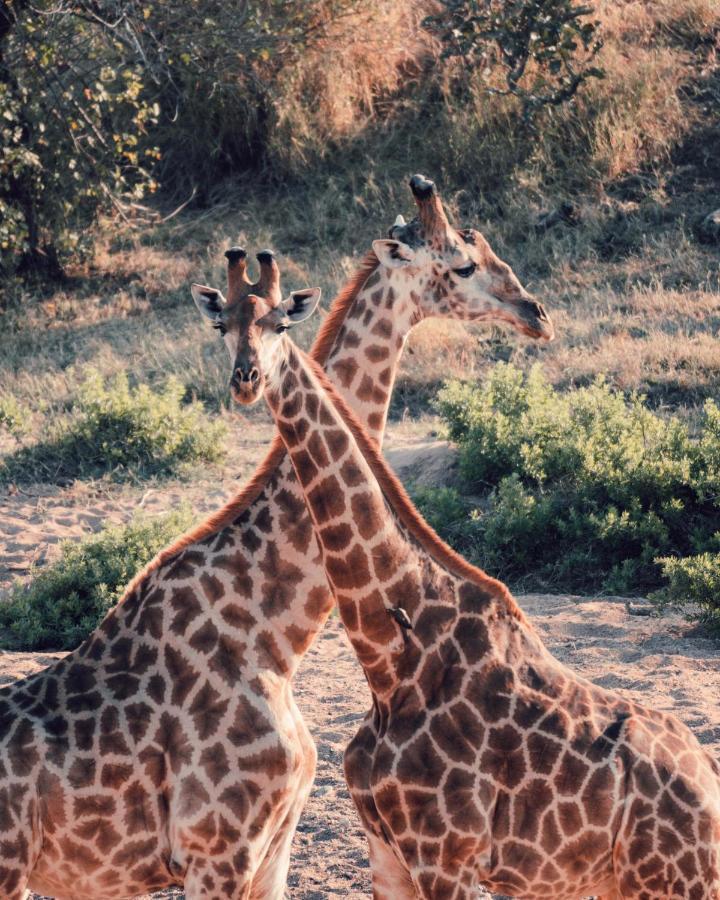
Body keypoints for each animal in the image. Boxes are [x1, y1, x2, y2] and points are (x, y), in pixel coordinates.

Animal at [0, 176, 552, 900]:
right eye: (462, 265)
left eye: (281, 322)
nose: (535, 311)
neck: (272, 637)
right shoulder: (217, 850)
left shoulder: (275, 845)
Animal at [233, 290, 720, 900]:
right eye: (223, 324)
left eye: (279, 325)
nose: (246, 379)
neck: (391, 663)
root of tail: (710, 780)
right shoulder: (386, 850)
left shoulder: (447, 856)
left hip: (671, 880)